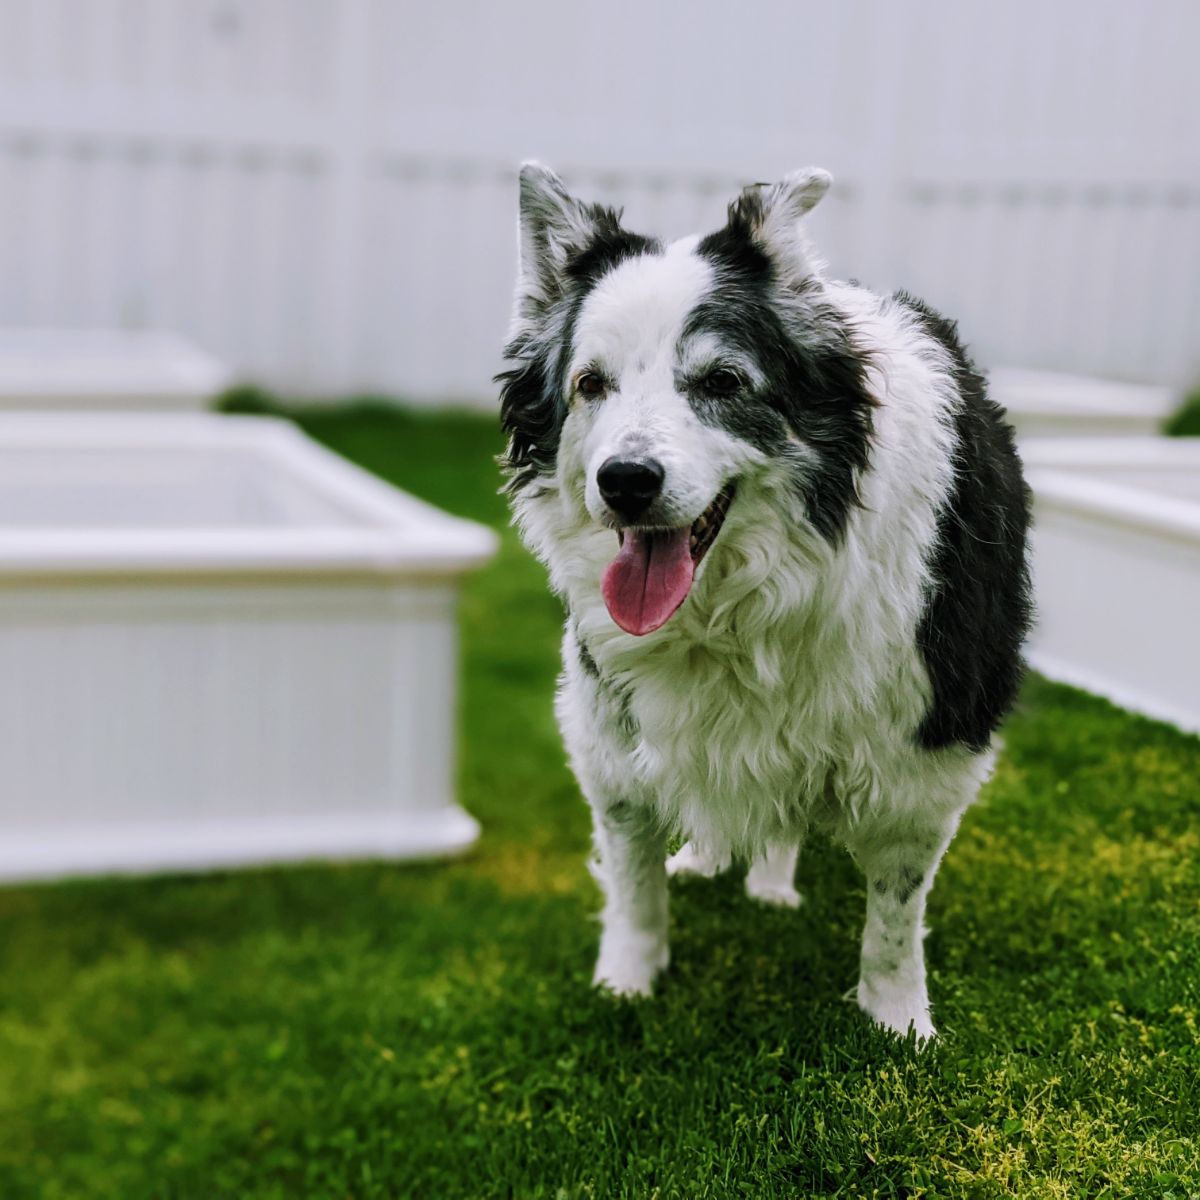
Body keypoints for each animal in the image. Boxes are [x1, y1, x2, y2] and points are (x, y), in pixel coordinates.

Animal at [496, 164, 1032, 1036]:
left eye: (723, 382)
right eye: (590, 385)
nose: (625, 481)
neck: (742, 604)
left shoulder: (930, 746)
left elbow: (897, 907)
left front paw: (897, 1018)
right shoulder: (608, 726)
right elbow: (632, 876)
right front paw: (628, 982)